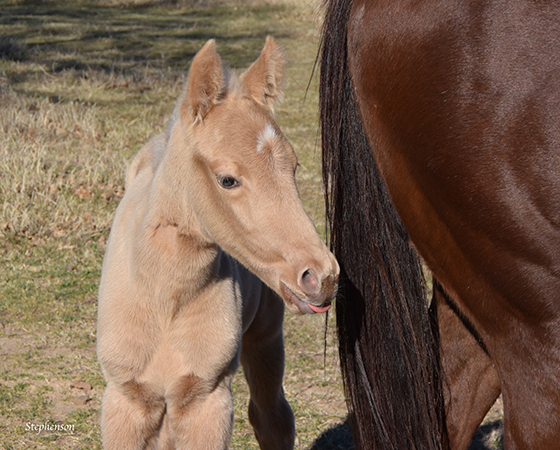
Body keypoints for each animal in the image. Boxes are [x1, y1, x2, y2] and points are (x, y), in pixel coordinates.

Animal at [98, 38, 340, 450]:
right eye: (227, 180)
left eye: (293, 167)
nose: (321, 277)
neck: (163, 299)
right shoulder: (125, 399)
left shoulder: (207, 398)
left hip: (265, 336)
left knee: (272, 417)